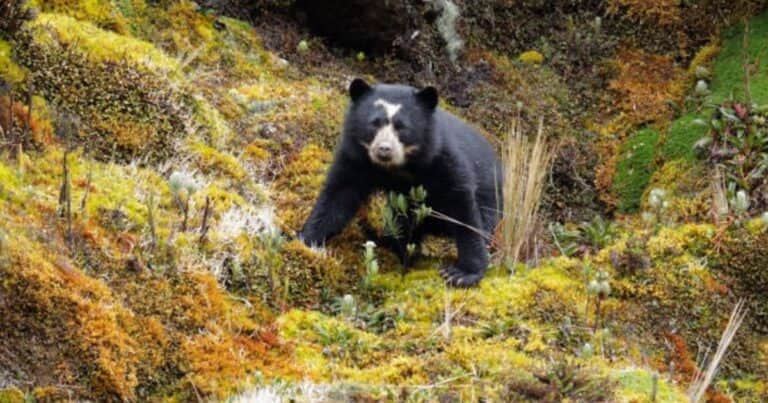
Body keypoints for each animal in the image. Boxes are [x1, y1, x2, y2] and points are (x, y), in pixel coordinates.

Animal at [299, 78, 502, 287]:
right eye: (374, 124)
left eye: (402, 127)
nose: (384, 149)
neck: (399, 167)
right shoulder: (356, 158)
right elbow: (339, 195)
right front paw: (307, 241)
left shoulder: (441, 159)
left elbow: (461, 206)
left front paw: (460, 273)